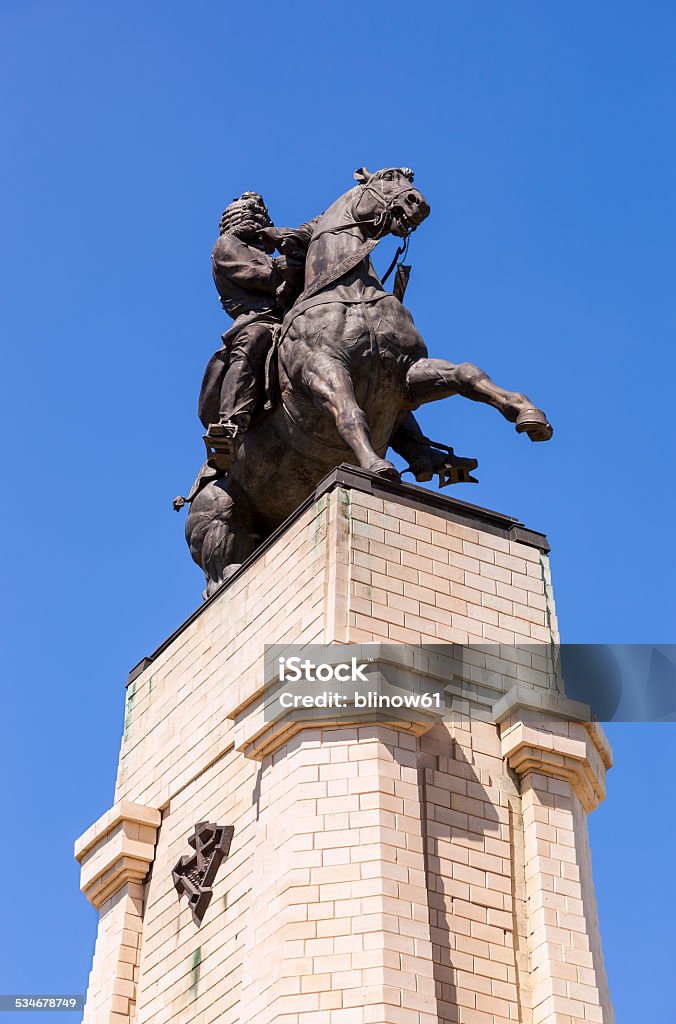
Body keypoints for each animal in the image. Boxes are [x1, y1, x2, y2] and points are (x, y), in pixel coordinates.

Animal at [183, 165, 548, 598]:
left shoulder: (406, 372)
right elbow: (350, 413)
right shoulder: (322, 368)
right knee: (215, 577)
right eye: (388, 178)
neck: (351, 288)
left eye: (409, 177)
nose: (417, 203)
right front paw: (377, 466)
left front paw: (529, 415)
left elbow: (467, 374)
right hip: (217, 515)